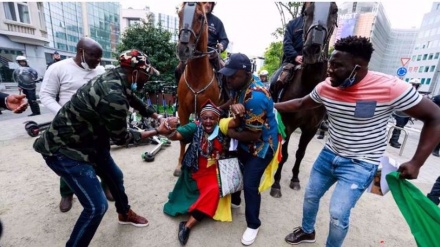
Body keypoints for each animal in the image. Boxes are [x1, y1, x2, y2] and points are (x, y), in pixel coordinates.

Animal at [174, 1, 223, 176]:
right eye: (180, 14)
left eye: (200, 16)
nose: (183, 49)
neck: (197, 78)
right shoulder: (182, 110)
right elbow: (182, 137)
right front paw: (179, 165)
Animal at [268, 2, 336, 199]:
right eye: (306, 12)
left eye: (334, 11)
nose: (313, 48)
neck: (308, 88)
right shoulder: (287, 125)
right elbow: (285, 153)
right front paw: (276, 184)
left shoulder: (311, 128)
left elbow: (300, 153)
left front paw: (295, 179)